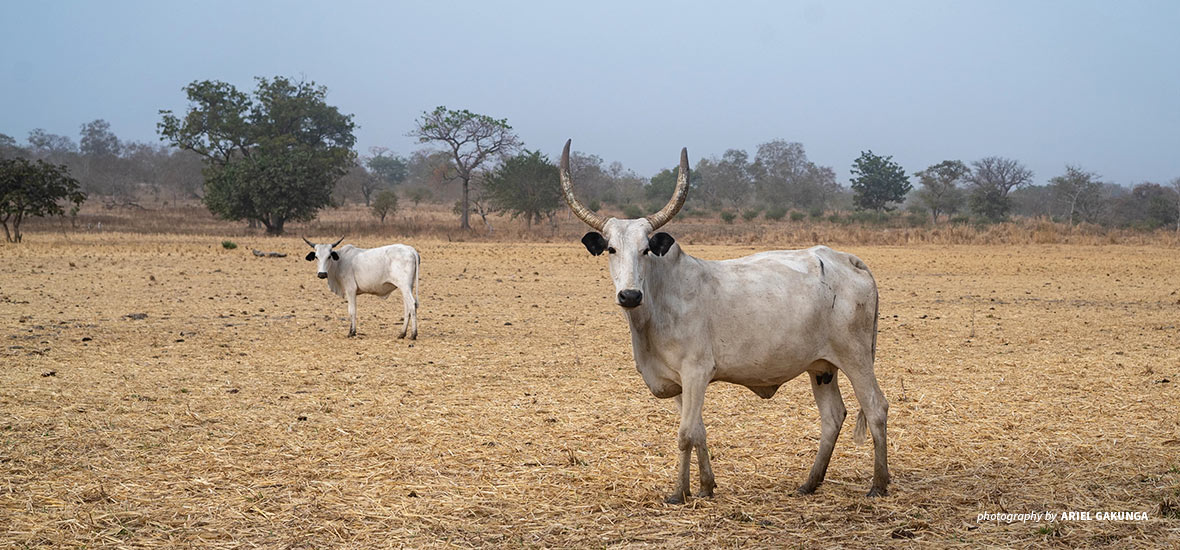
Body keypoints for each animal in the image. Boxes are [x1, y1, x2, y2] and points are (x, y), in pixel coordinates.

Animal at [559, 139, 887, 500]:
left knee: (876, 408)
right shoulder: (679, 384)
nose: (629, 295)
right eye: (611, 250)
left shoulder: (696, 372)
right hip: (822, 367)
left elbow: (685, 434)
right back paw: (810, 482)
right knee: (832, 417)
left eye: (646, 250)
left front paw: (680, 493)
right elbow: (698, 431)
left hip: (856, 358)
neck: (658, 305)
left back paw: (878, 483)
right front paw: (705, 486)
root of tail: (847, 259)